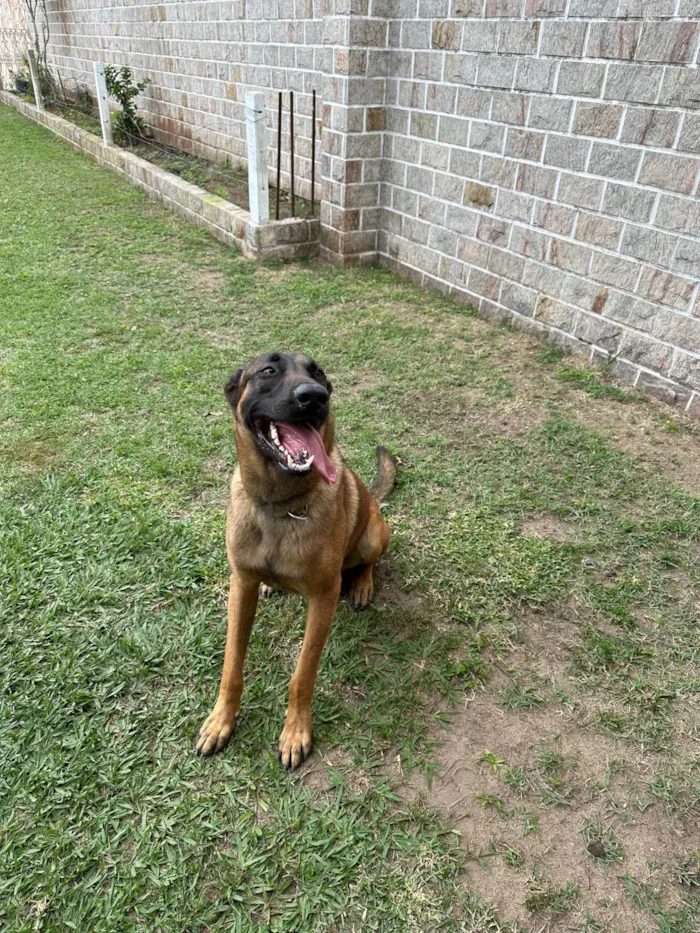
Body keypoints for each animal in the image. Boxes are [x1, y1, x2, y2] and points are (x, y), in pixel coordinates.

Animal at [194, 354, 396, 768]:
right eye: (268, 371)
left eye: (318, 373)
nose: (314, 396)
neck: (280, 505)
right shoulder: (241, 586)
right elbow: (231, 664)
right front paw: (221, 720)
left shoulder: (323, 599)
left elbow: (302, 675)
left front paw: (295, 732)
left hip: (373, 535)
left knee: (369, 560)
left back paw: (363, 585)